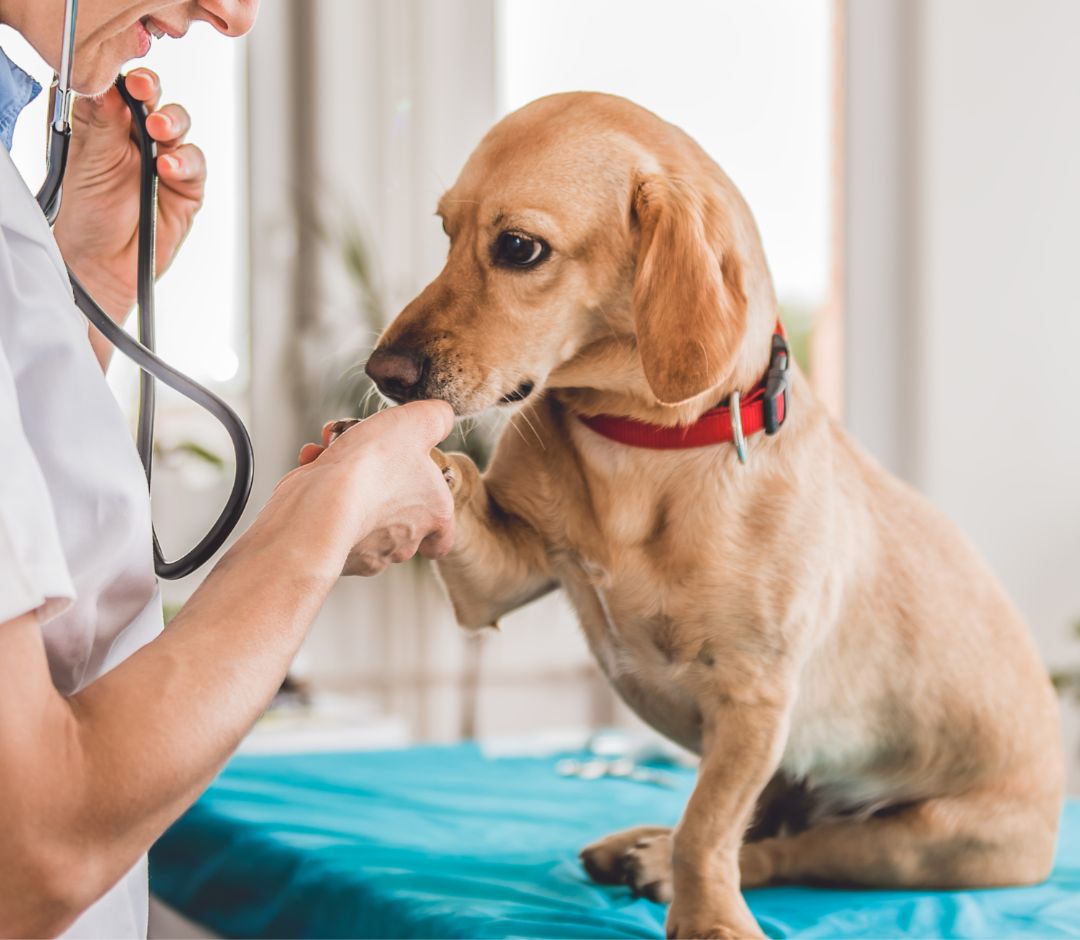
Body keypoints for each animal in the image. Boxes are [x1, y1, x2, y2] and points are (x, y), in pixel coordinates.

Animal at [360, 95, 1062, 940]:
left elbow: (707, 829)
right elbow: (461, 492)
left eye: (519, 247)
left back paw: (662, 862)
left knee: (788, 848)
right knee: (764, 829)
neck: (639, 445)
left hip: (924, 842)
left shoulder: (752, 700)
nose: (381, 373)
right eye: (445, 231)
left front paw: (705, 917)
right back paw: (640, 844)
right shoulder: (497, 583)